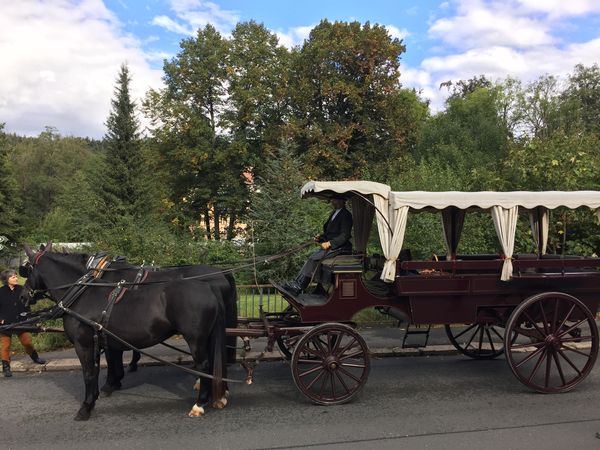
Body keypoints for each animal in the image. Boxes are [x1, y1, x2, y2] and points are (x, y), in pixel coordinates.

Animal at [23, 244, 239, 420]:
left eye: (26, 269)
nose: (23, 294)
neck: (83, 293)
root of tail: (210, 287)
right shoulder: (102, 340)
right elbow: (101, 366)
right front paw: (104, 390)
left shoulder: (84, 344)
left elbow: (91, 372)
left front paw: (88, 405)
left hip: (196, 338)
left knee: (204, 364)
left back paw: (200, 403)